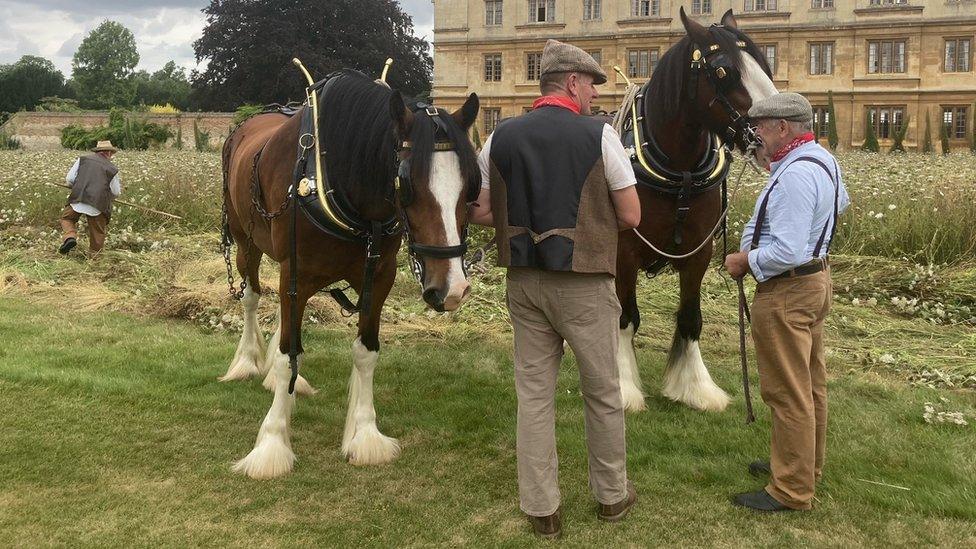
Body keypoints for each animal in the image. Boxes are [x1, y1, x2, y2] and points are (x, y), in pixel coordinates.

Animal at [220, 70, 480, 478]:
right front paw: (272, 444)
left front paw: (365, 434)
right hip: (246, 240)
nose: (452, 289)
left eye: (471, 186)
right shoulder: (297, 272)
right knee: (251, 297)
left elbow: (365, 352)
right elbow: (288, 353)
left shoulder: (379, 277)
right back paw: (247, 361)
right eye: (406, 184)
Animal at [612, 9, 772, 412]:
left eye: (765, 64)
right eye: (723, 71)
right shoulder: (624, 250)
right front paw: (623, 387)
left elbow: (690, 318)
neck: (678, 171)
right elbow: (625, 317)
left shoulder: (700, 251)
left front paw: (695, 388)